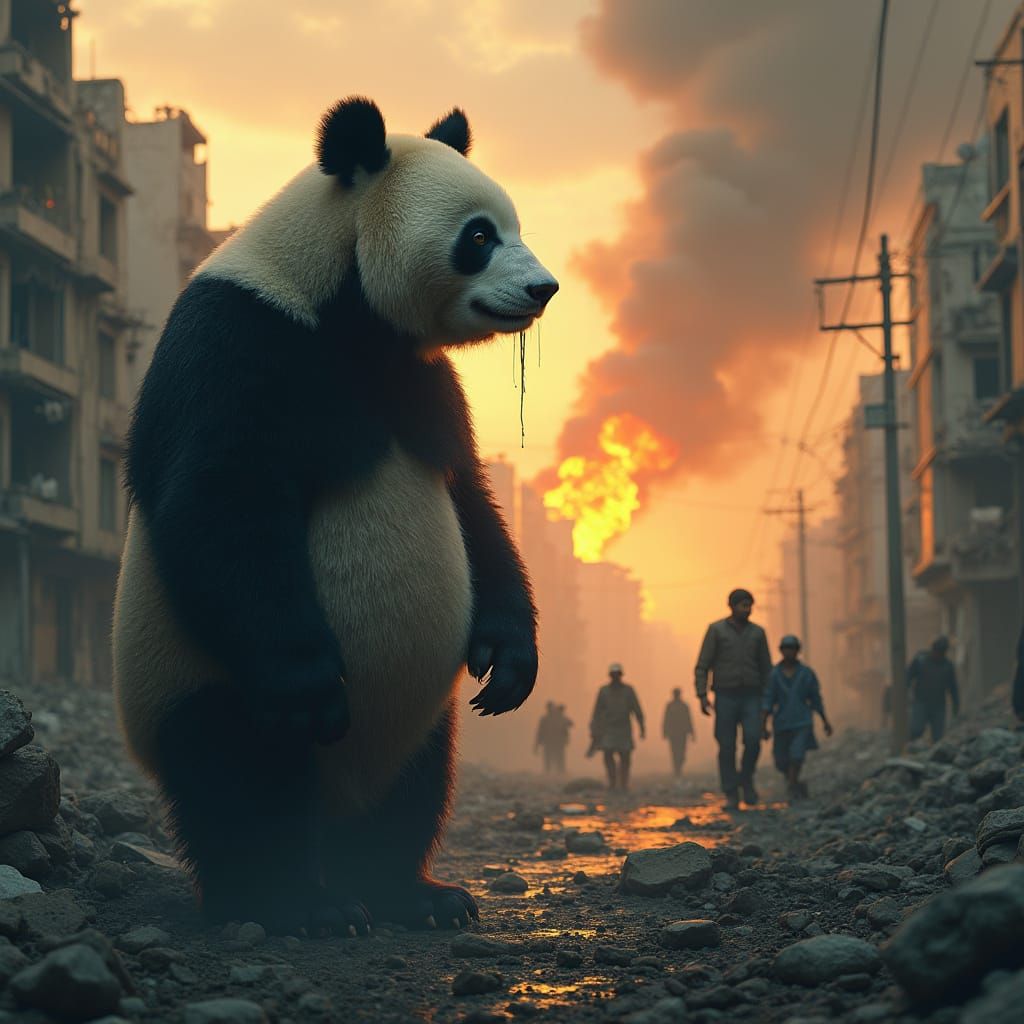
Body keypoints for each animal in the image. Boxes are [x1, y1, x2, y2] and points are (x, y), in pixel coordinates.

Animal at [111, 97, 558, 934]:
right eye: (479, 236)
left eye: (513, 224)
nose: (543, 288)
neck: (343, 302)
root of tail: (343, 797)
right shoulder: (242, 338)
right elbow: (221, 496)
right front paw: (312, 684)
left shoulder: (423, 380)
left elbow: (472, 502)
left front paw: (511, 660)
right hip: (192, 674)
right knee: (241, 774)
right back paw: (297, 902)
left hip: (418, 709)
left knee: (417, 784)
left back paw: (411, 893)